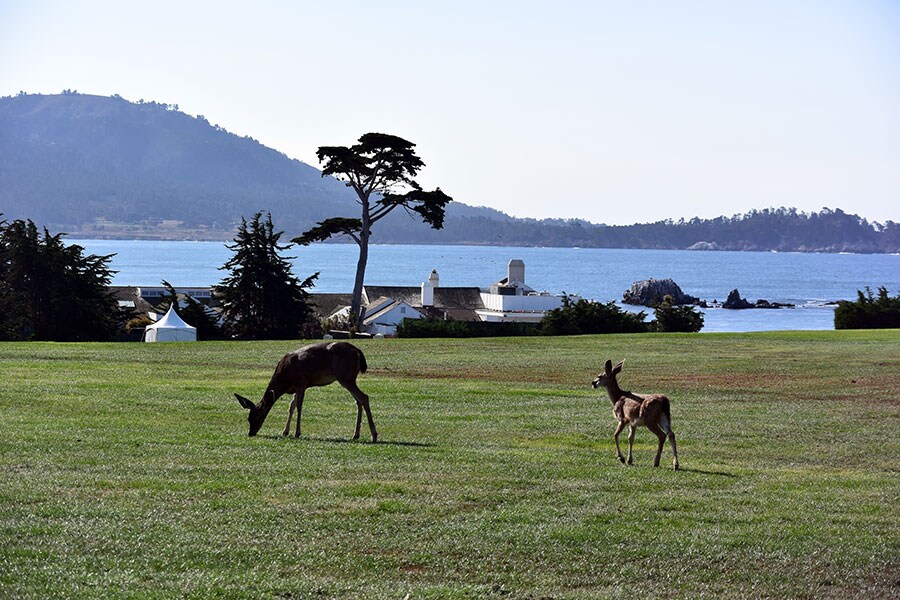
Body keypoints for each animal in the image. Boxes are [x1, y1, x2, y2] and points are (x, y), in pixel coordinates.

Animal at [236, 342, 376, 440]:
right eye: (248, 418)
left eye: (257, 416)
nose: (251, 433)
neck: (284, 379)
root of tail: (358, 351)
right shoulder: (296, 388)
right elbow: (291, 406)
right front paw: (285, 431)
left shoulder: (302, 382)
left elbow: (299, 406)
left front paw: (297, 433)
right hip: (348, 378)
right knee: (358, 401)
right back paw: (356, 435)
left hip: (345, 376)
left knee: (364, 397)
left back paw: (374, 435)